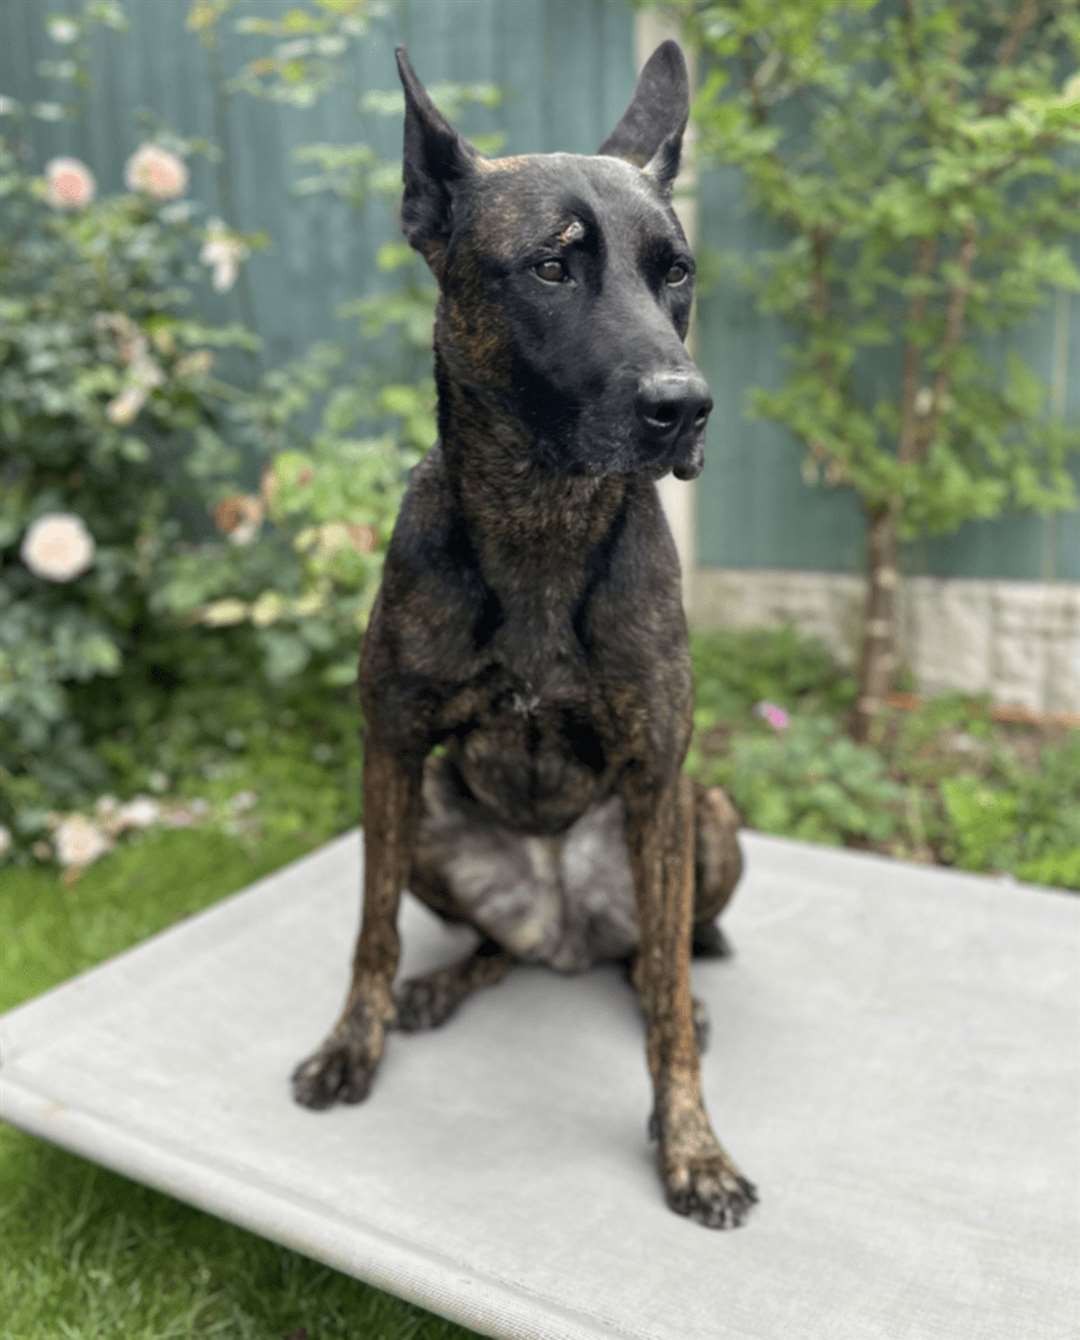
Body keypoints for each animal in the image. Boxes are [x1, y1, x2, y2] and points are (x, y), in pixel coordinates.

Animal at [292, 41, 755, 1227]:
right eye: (552, 267)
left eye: (675, 271)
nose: (687, 408)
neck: (544, 520)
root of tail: (565, 933)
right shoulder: (391, 750)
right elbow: (368, 928)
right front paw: (352, 1041)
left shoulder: (659, 771)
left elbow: (669, 1004)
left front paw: (691, 1145)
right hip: (437, 827)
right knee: (491, 942)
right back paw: (445, 983)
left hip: (707, 814)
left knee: (660, 956)